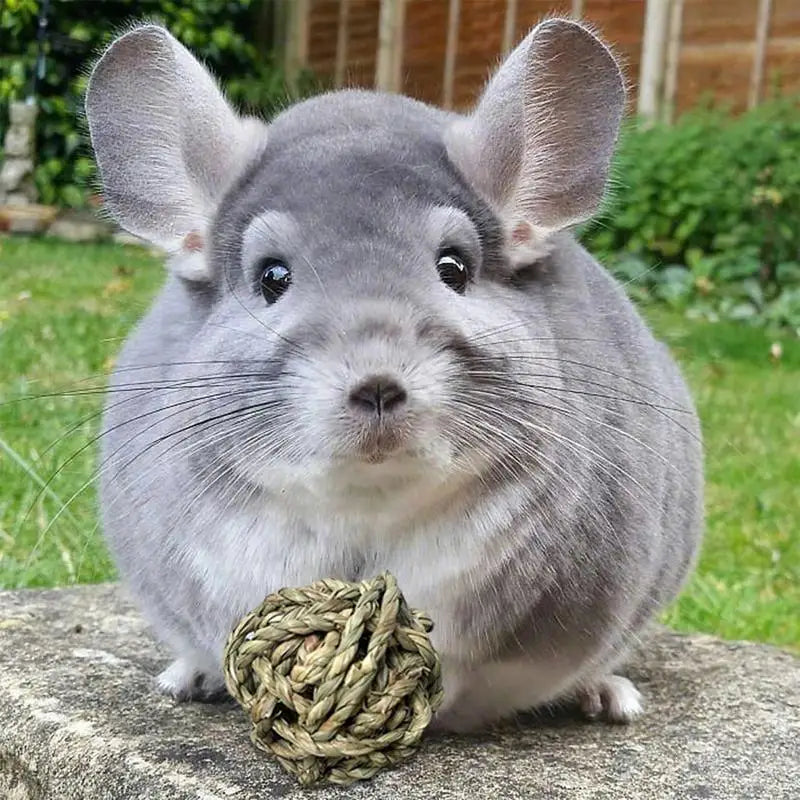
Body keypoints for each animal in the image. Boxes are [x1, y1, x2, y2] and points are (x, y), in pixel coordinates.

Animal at [86, 18, 703, 732]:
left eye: (454, 267)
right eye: (272, 277)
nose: (378, 384)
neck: (369, 502)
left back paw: (609, 698)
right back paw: (185, 679)